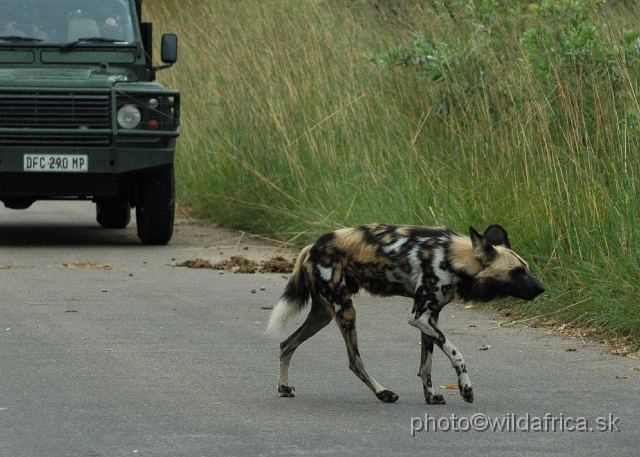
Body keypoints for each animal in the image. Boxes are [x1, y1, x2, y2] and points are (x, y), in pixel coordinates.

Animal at [266, 224, 544, 402]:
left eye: (527, 269)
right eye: (517, 272)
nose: (542, 288)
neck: (454, 259)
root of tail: (312, 246)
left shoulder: (430, 318)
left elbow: (426, 365)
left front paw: (430, 397)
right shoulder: (419, 318)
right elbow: (457, 354)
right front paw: (465, 388)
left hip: (324, 314)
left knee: (286, 344)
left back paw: (284, 387)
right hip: (345, 310)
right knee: (355, 361)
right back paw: (383, 393)